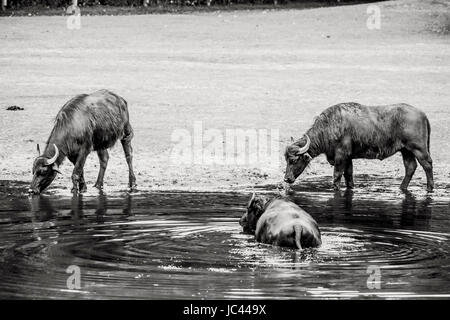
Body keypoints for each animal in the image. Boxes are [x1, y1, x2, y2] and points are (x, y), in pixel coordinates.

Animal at [284, 104, 434, 191]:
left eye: (293, 160)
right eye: (286, 160)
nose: (286, 179)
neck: (330, 127)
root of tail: (422, 114)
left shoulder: (341, 156)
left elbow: (337, 176)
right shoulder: (348, 158)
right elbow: (348, 176)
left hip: (418, 148)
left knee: (427, 164)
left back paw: (429, 188)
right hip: (406, 150)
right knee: (410, 167)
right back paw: (401, 188)